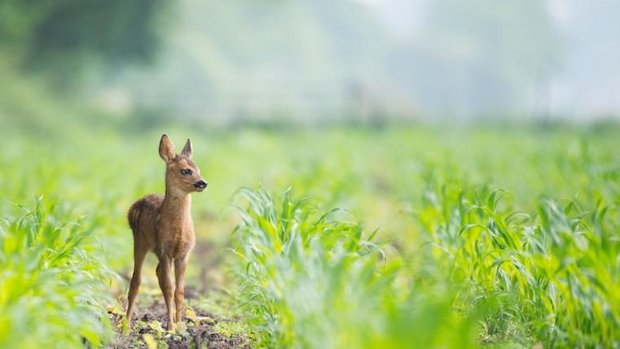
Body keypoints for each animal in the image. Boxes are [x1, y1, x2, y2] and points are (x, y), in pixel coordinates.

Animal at [126, 133, 208, 328]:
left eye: (198, 168)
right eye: (185, 170)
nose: (202, 183)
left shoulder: (184, 253)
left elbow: (180, 290)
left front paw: (179, 325)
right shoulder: (164, 250)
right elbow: (169, 287)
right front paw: (171, 326)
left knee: (157, 274)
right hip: (140, 242)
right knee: (136, 281)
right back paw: (125, 326)